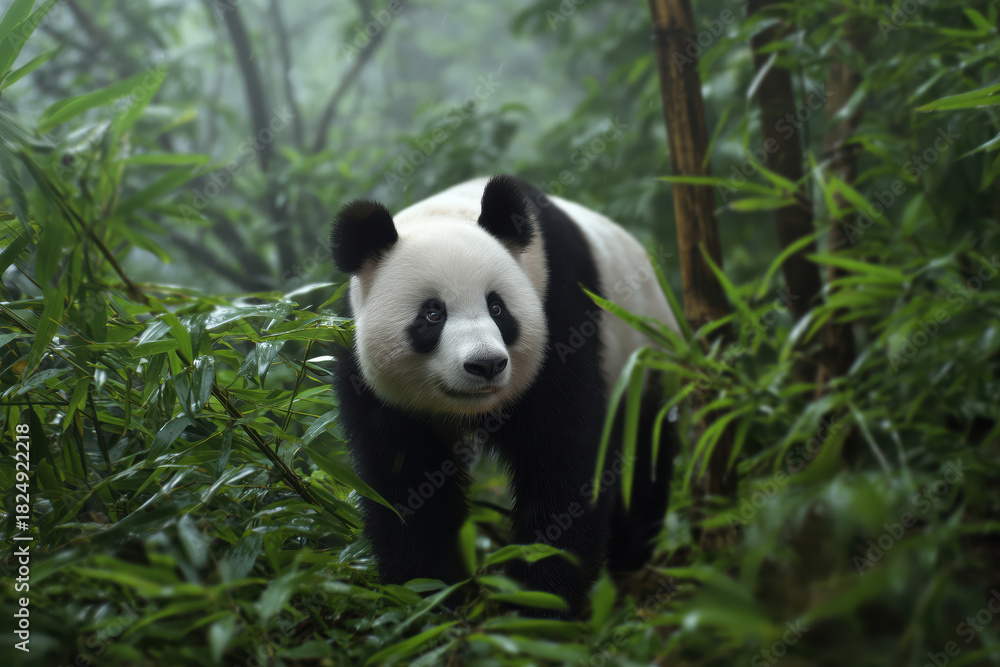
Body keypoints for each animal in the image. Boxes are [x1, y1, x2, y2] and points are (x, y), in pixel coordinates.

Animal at [330, 175, 680, 615]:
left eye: (497, 308)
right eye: (432, 314)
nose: (486, 365)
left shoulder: (560, 314)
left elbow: (565, 454)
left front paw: (537, 601)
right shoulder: (366, 372)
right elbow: (404, 479)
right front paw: (428, 593)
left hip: (645, 361)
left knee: (644, 452)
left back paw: (630, 559)